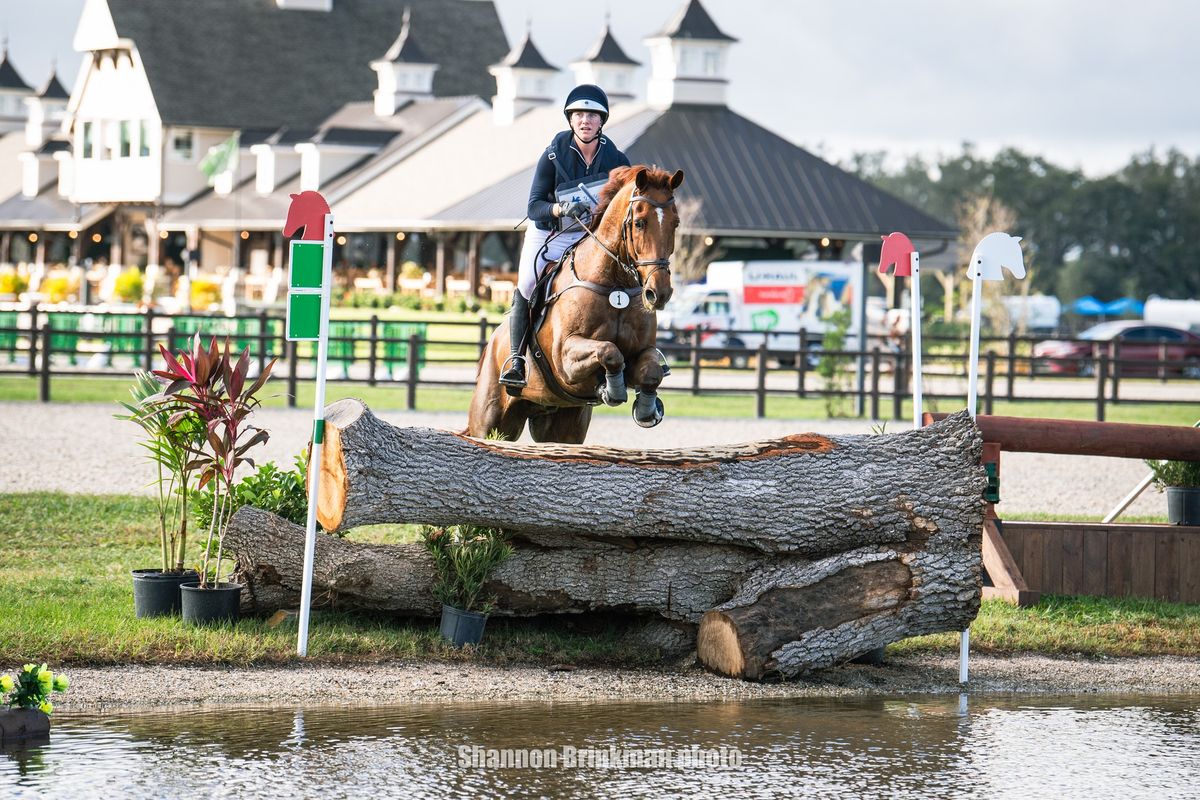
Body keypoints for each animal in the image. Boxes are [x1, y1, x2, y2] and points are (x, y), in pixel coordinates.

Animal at [472, 165, 691, 443]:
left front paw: (646, 409)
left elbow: (650, 370)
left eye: (675, 223)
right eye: (639, 223)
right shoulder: (566, 359)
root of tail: (491, 344)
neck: (614, 284)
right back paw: (514, 372)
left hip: (563, 425)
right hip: (490, 420)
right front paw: (613, 389)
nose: (658, 293)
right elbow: (609, 351)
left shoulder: (643, 351)